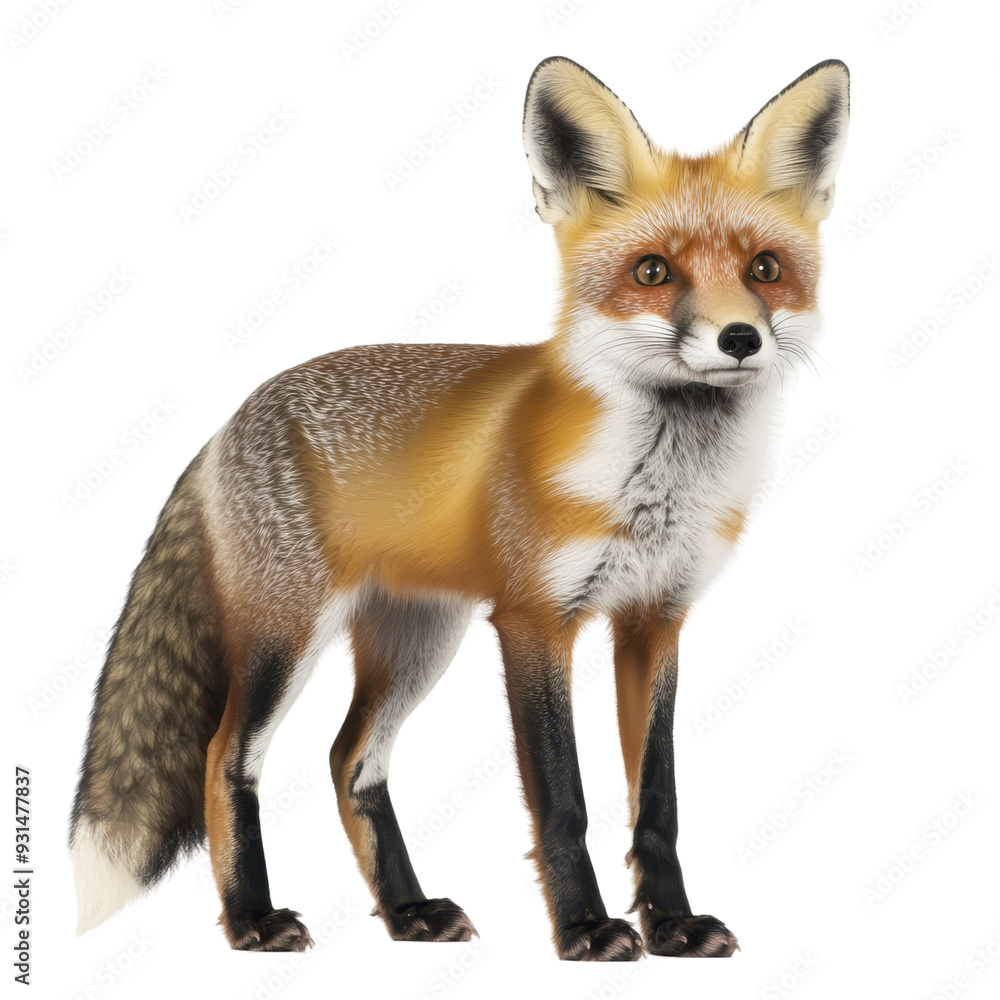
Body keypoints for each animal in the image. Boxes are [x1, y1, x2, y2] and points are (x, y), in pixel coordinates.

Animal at [70, 56, 849, 960]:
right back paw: (253, 921)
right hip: (285, 634)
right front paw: (586, 928)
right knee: (225, 756)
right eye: (653, 272)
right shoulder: (535, 620)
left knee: (351, 761)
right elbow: (565, 801)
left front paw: (674, 926)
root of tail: (230, 420)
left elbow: (658, 802)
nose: (739, 339)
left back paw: (408, 910)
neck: (655, 488)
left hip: (418, 640)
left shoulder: (655, 619)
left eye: (765, 269)